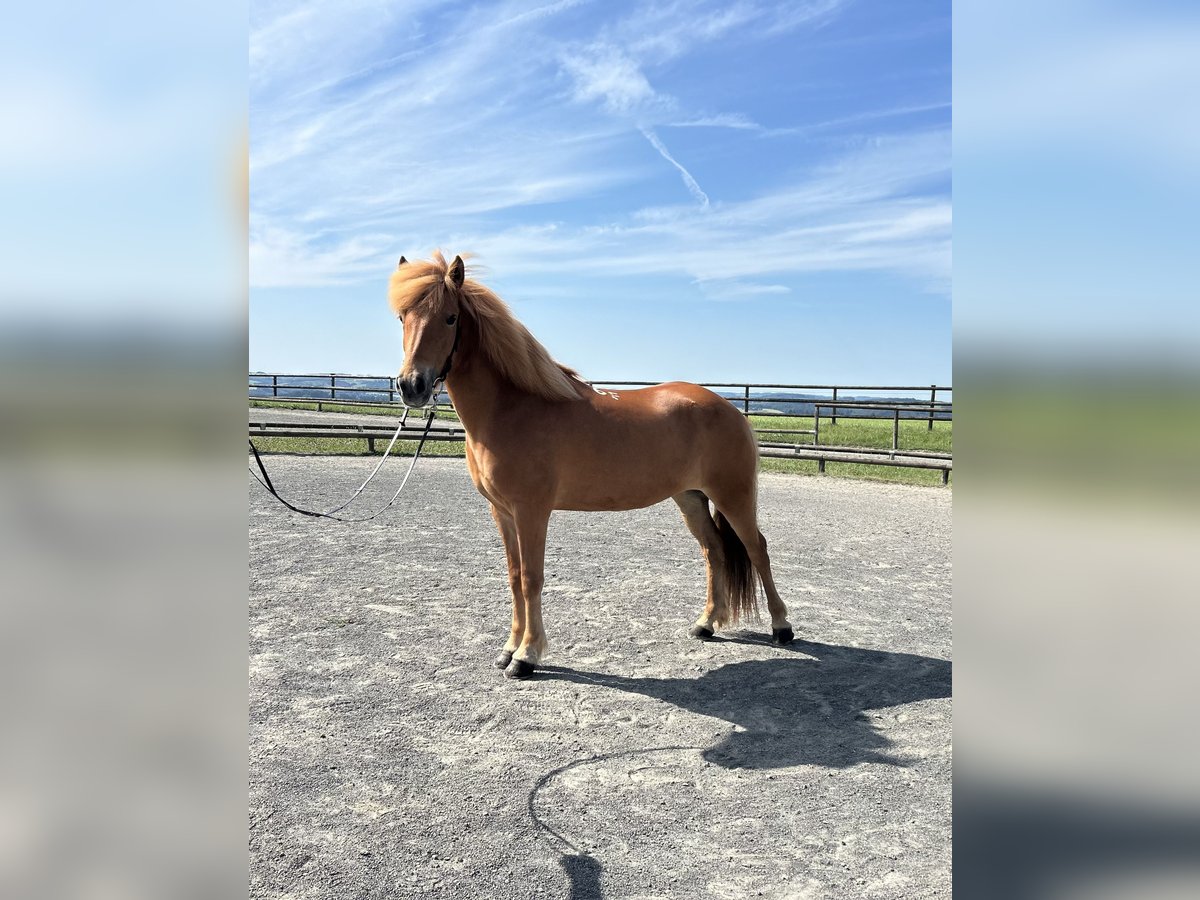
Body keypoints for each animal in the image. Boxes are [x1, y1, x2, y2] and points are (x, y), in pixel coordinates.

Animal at [388, 250, 792, 681]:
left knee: (757, 549)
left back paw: (782, 627)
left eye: (450, 317)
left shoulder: (532, 511)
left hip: (733, 496)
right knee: (714, 551)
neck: (510, 408)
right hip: (690, 498)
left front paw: (527, 656)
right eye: (402, 317)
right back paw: (706, 623)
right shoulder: (502, 511)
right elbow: (514, 578)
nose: (411, 386)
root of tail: (730, 409)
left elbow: (531, 579)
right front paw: (509, 648)